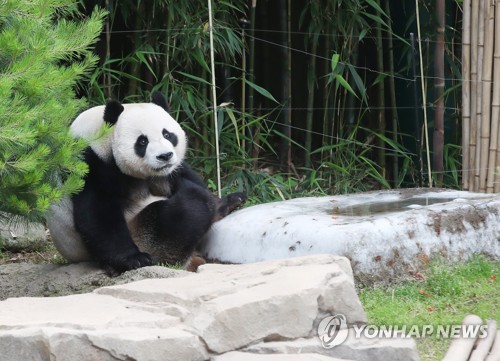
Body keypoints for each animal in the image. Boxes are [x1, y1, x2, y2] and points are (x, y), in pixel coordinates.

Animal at [48, 92, 246, 272]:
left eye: (167, 135)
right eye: (142, 141)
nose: (165, 156)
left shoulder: (171, 171)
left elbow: (186, 175)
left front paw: (225, 201)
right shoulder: (88, 165)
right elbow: (99, 214)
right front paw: (134, 259)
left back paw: (231, 202)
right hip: (144, 234)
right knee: (185, 210)